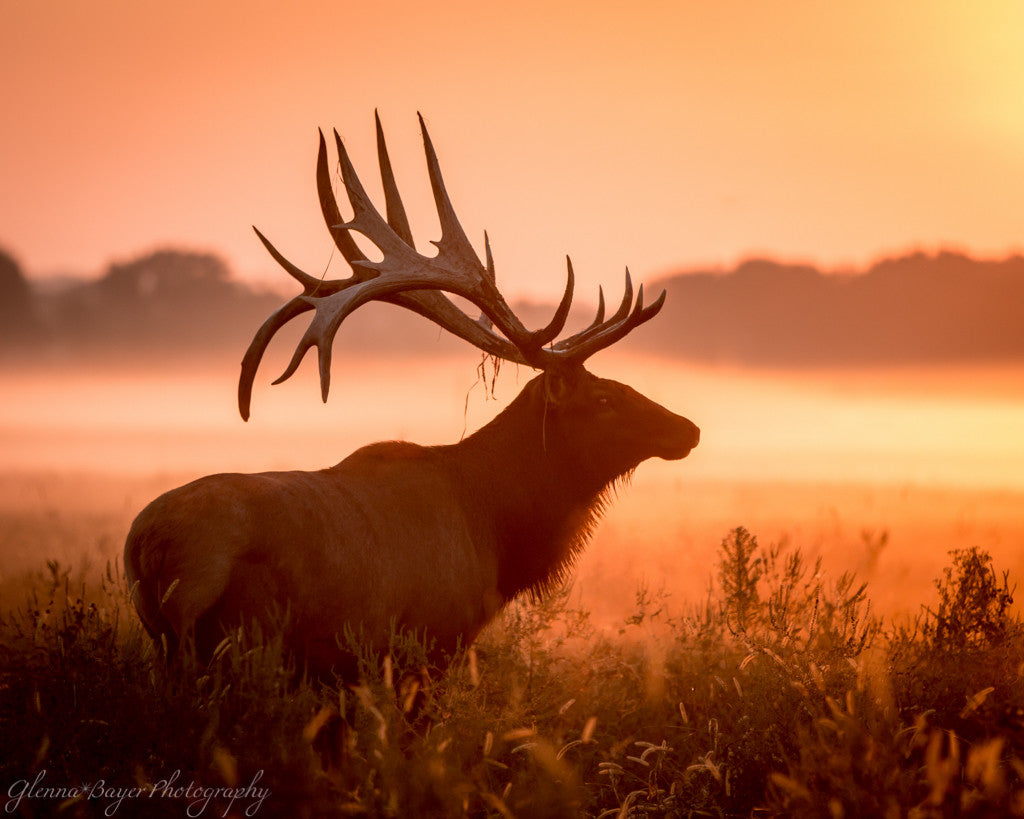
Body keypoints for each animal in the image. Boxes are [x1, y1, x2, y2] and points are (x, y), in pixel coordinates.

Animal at [124, 114, 700, 680]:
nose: (689, 429)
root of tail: (146, 545)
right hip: (236, 643)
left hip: (169, 643)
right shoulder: (430, 641)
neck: (495, 529)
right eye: (603, 399)